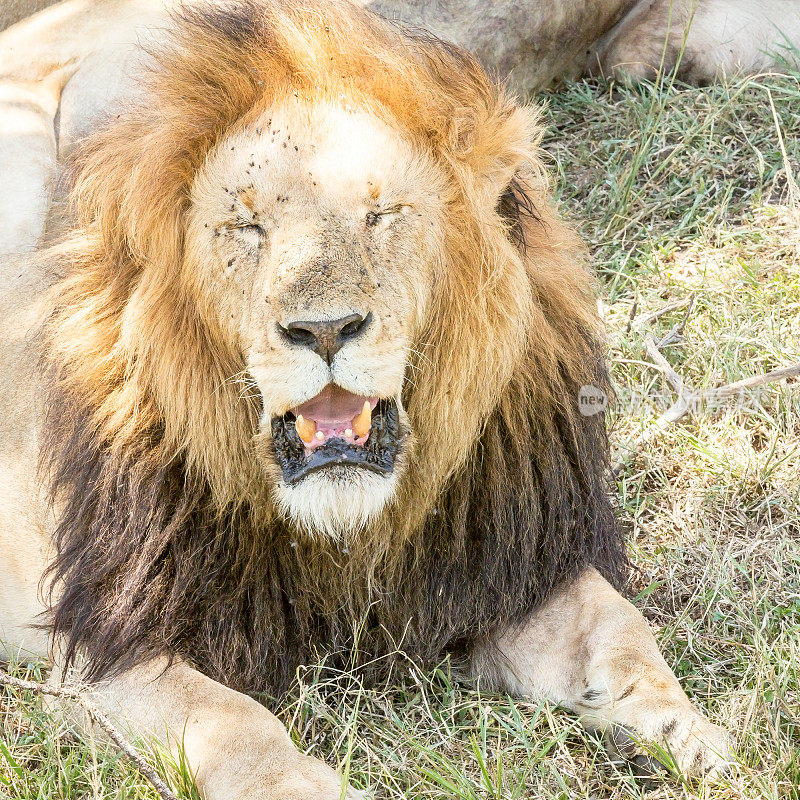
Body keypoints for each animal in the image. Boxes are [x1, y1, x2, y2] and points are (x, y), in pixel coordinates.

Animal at [0, 1, 732, 800]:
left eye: (383, 216)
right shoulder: (104, 642)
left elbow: (618, 628)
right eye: (247, 227)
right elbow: (234, 726)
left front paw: (689, 737)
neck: (344, 532)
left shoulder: (495, 571)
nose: (324, 329)